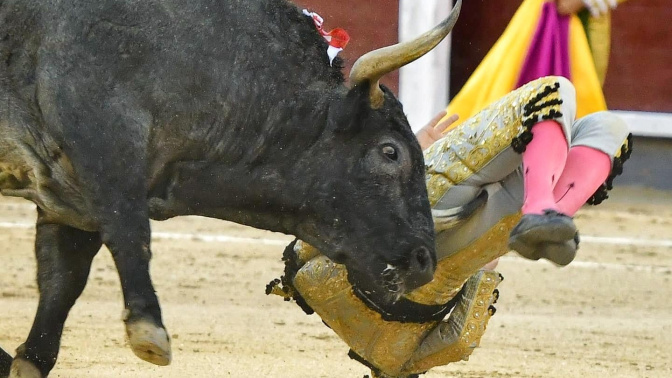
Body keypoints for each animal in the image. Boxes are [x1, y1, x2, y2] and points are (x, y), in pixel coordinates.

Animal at [0, 0, 460, 376]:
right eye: (390, 152)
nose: (424, 260)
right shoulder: (104, 145)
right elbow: (129, 230)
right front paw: (149, 330)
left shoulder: (66, 198)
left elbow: (62, 279)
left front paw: (29, 358)